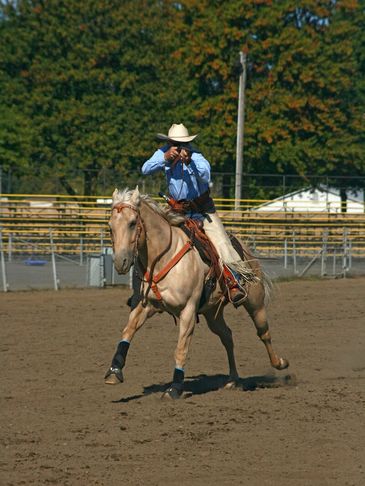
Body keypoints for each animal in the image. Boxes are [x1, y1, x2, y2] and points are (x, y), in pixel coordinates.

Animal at [104, 187, 288, 398]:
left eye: (133, 223)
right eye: (110, 226)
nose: (121, 262)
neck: (161, 256)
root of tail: (245, 251)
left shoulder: (188, 311)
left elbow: (181, 349)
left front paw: (175, 388)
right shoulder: (145, 306)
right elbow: (128, 332)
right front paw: (114, 371)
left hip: (255, 302)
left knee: (263, 332)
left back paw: (280, 363)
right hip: (212, 313)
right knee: (227, 336)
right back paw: (233, 380)